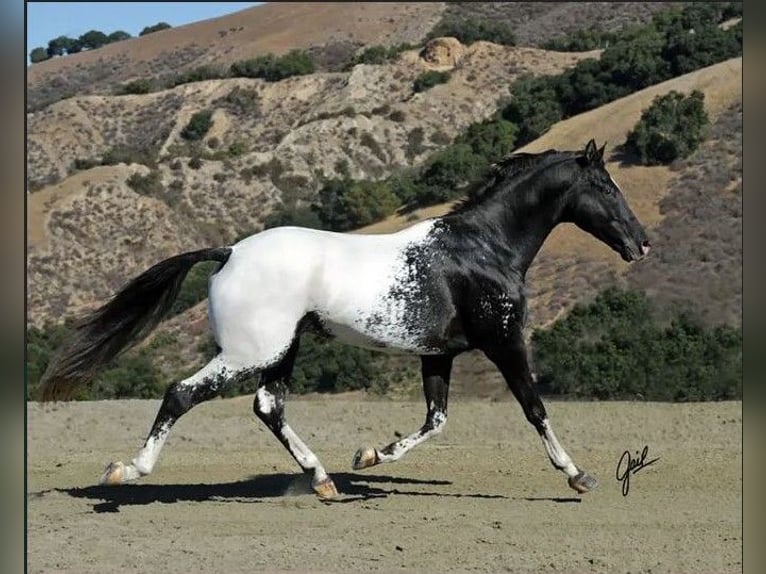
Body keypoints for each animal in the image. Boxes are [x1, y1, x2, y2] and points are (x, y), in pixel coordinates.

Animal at [40, 140, 656, 500]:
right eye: (605, 186)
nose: (642, 244)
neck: (483, 248)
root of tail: (230, 252)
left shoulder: (438, 353)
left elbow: (436, 420)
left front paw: (370, 455)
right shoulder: (503, 339)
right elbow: (534, 407)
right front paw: (578, 475)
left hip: (281, 350)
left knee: (268, 407)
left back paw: (324, 481)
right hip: (249, 351)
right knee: (182, 393)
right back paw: (126, 471)